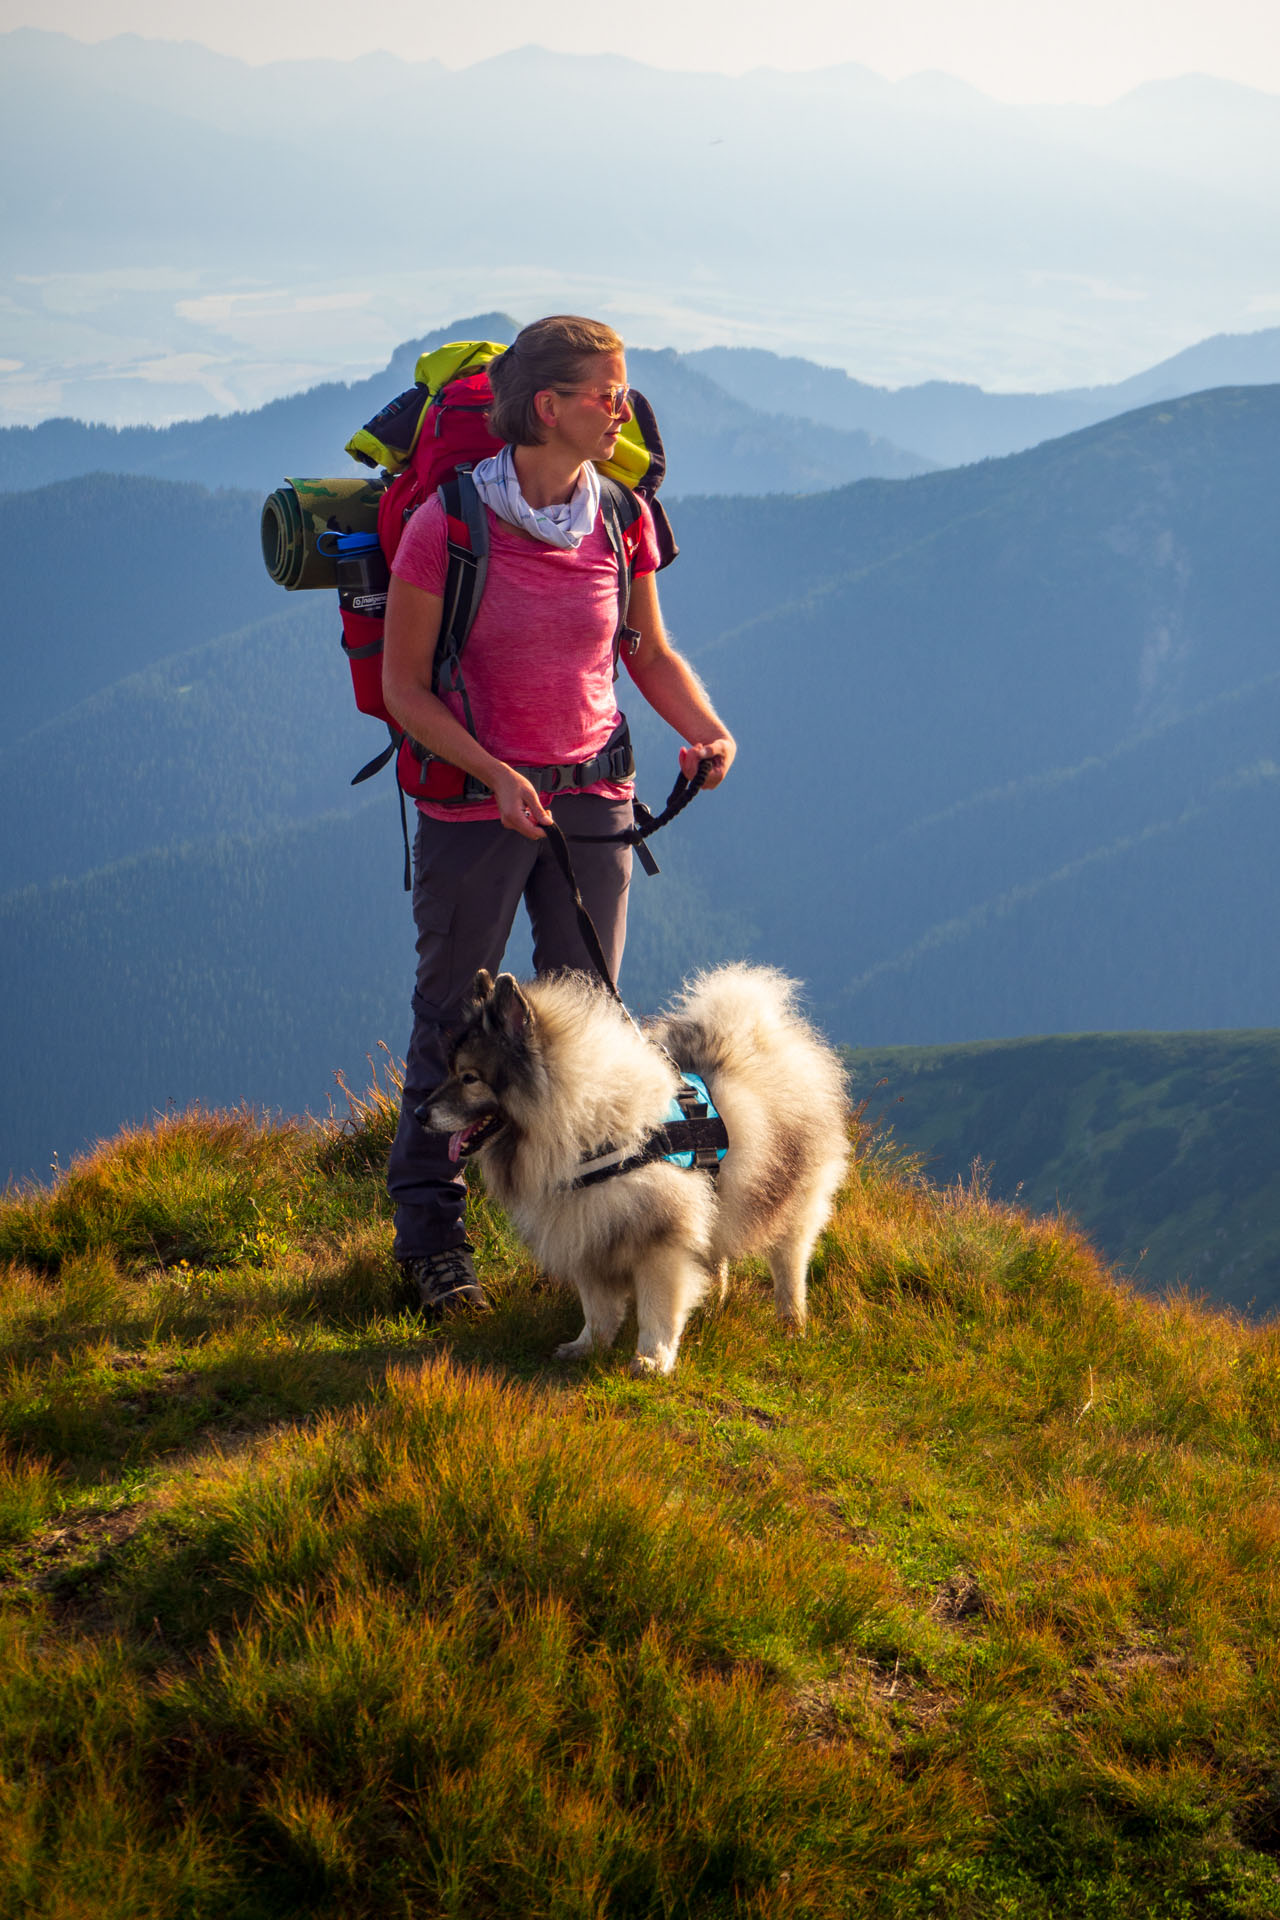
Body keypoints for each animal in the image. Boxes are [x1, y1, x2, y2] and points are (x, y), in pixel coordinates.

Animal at [420, 967, 855, 1374]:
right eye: (450, 1070)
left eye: (470, 1078)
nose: (420, 1113)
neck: (587, 1129)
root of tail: (767, 1037)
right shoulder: (586, 1232)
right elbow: (597, 1308)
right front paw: (588, 1346)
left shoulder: (658, 1243)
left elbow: (656, 1309)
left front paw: (652, 1359)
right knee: (718, 1254)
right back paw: (716, 1301)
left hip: (793, 1201)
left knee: (790, 1265)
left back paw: (791, 1323)